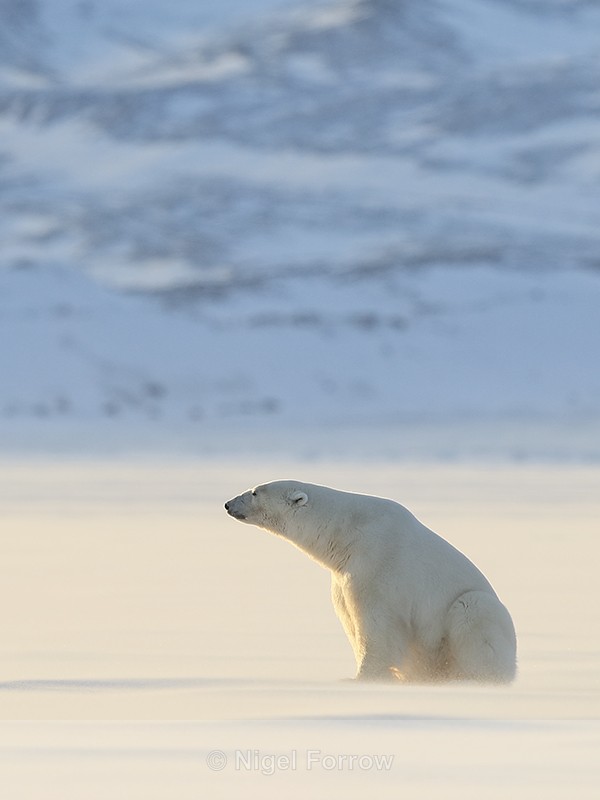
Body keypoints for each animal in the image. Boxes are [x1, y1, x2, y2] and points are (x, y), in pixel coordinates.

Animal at [225, 480, 517, 683]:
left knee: (474, 612)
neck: (346, 534)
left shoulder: (378, 565)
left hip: (474, 614)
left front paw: (361, 678)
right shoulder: (342, 578)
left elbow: (377, 627)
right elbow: (350, 619)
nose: (228, 504)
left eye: (254, 492)